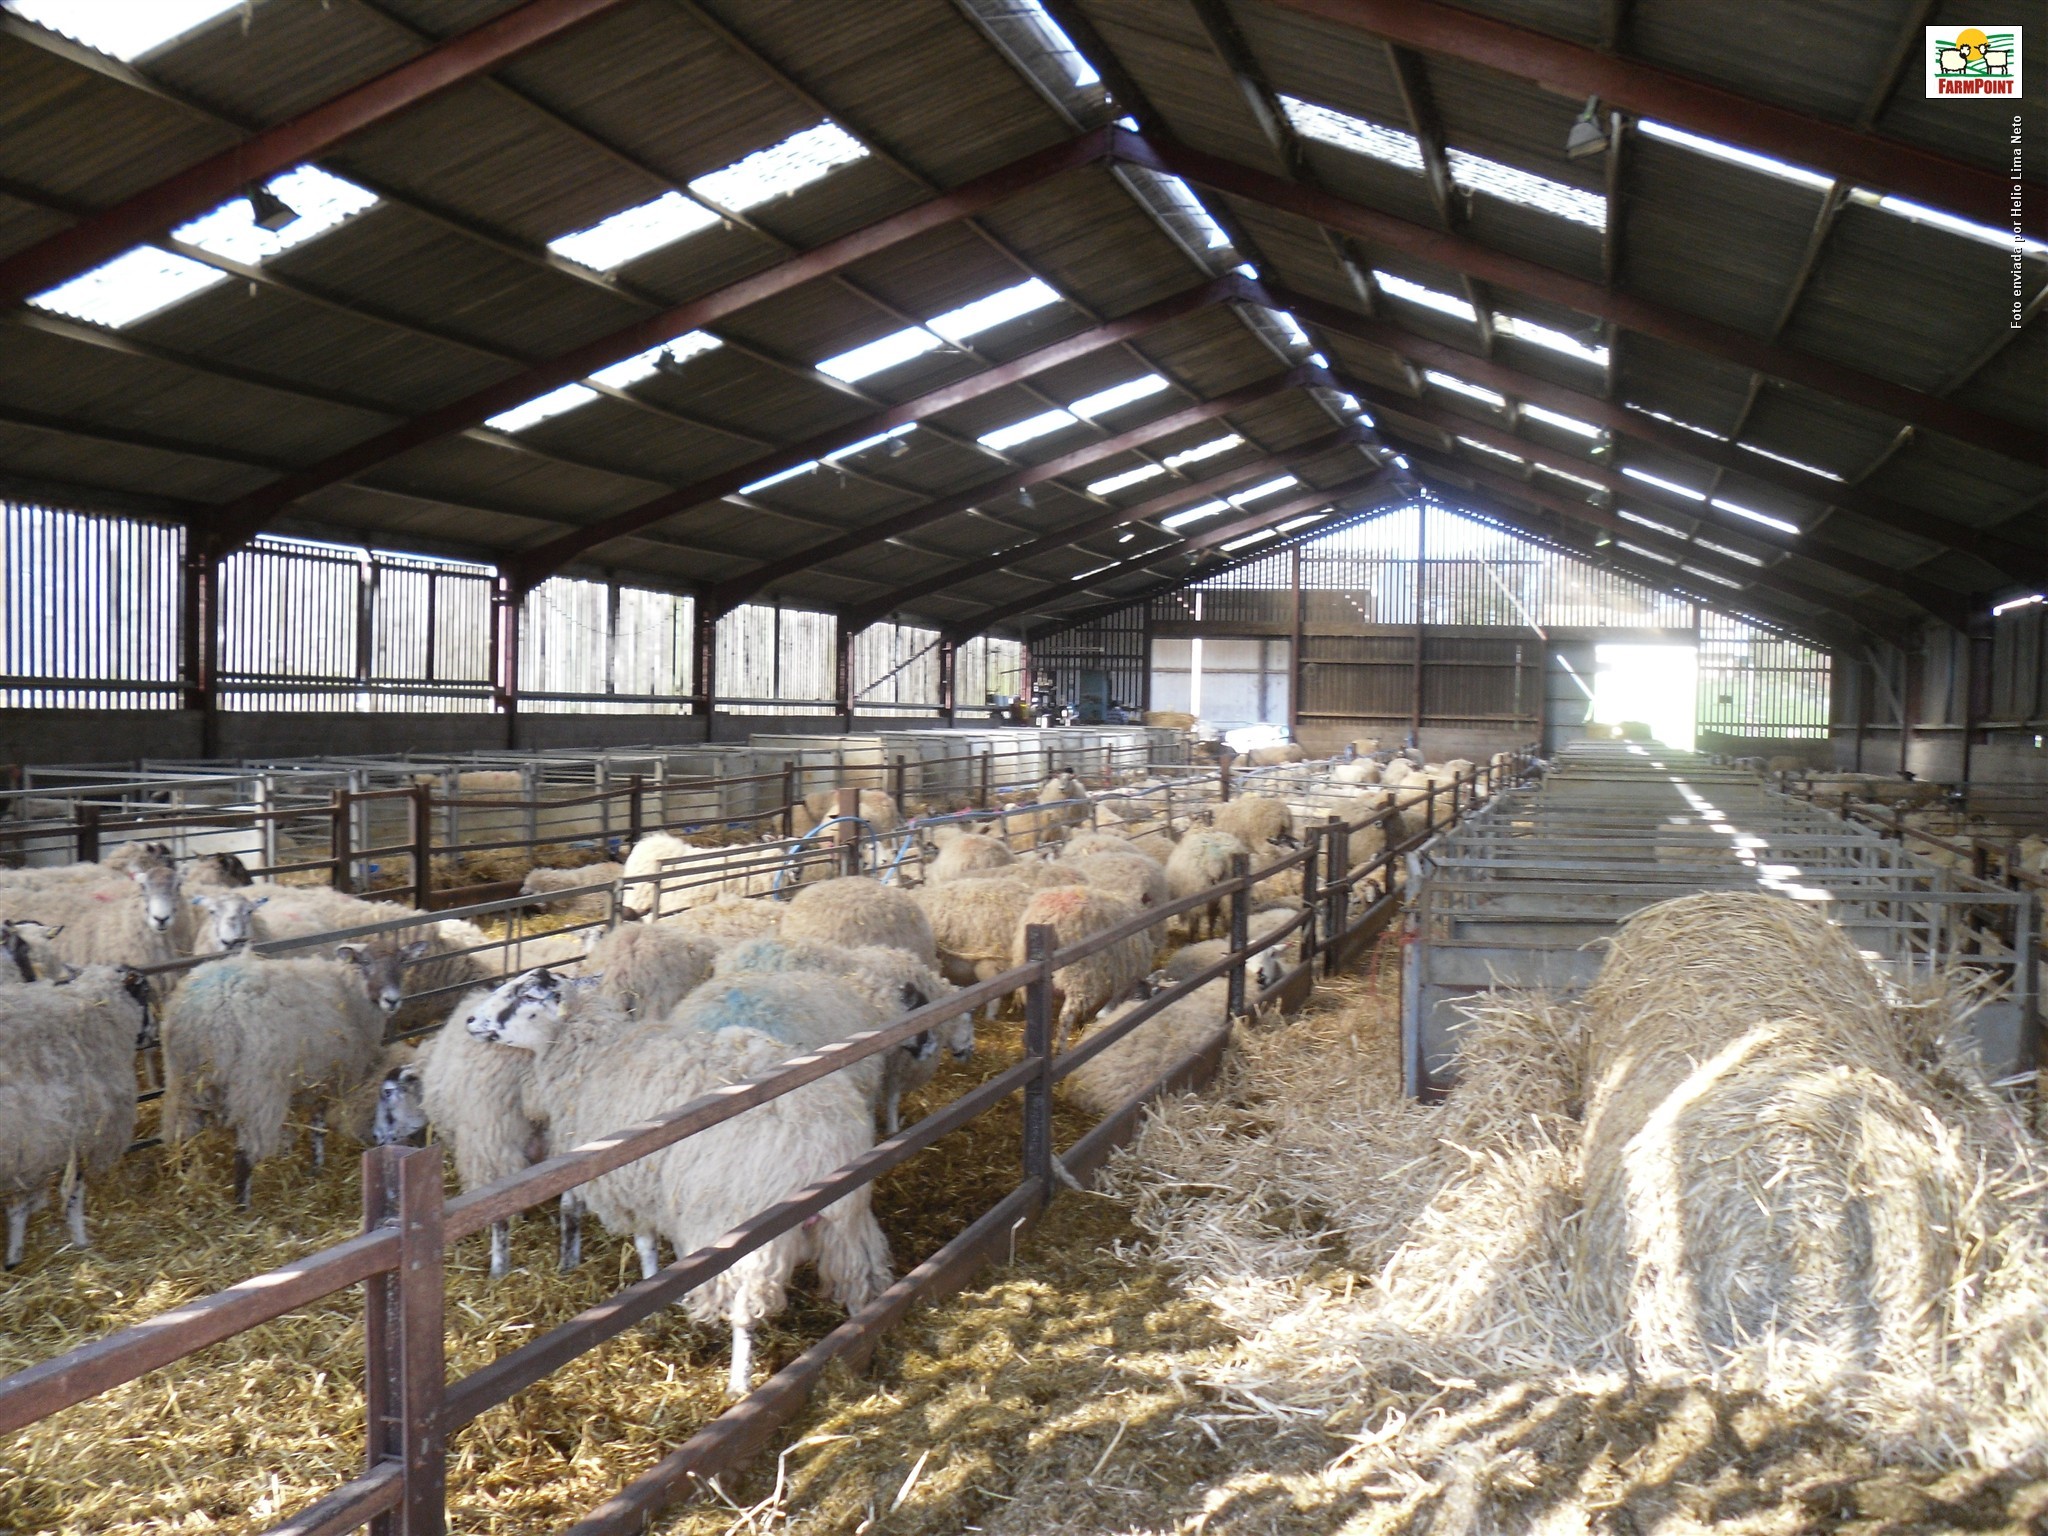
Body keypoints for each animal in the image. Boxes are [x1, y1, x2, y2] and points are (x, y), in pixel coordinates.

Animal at [0, 966, 156, 1268]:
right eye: (144, 990)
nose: (153, 1032)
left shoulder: (32, 1148)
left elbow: (21, 1201)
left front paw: (14, 1254)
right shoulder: (74, 1134)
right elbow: (73, 1192)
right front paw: (80, 1240)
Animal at [160, 940, 424, 1206]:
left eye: (402, 961)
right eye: (366, 962)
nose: (392, 1000)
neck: (350, 991)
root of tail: (210, 1012)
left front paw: (290, 1155)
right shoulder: (326, 1076)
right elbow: (317, 1127)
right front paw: (316, 1166)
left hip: (185, 1079)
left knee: (184, 1133)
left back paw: (186, 1182)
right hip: (255, 1086)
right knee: (245, 1151)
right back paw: (242, 1205)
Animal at [465, 968, 893, 1395]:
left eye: (527, 995)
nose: (470, 1021)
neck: (595, 1058)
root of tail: (824, 1142)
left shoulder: (632, 1184)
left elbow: (644, 1244)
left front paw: (653, 1289)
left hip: (750, 1233)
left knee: (746, 1313)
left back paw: (739, 1385)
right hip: (847, 1220)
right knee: (860, 1280)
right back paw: (858, 1341)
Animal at [1010, 885, 1152, 1043]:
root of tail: (1048, 917)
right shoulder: (1124, 980)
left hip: (1031, 982)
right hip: (1078, 977)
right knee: (1065, 1017)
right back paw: (1060, 1046)